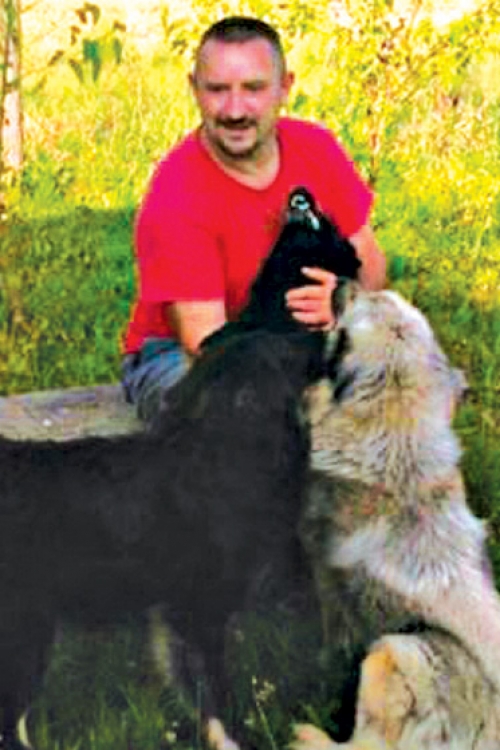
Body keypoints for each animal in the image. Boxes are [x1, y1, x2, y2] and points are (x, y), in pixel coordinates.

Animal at [0, 187, 359, 750]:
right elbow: (219, 702)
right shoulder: (200, 608)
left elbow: (198, 697)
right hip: (25, 637)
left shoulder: (174, 616)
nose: (301, 195)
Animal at [291, 281, 500, 749]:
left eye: (356, 305)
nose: (343, 282)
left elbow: (332, 638)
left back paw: (306, 732)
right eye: (382, 296)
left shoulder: (326, 575)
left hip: (397, 649)